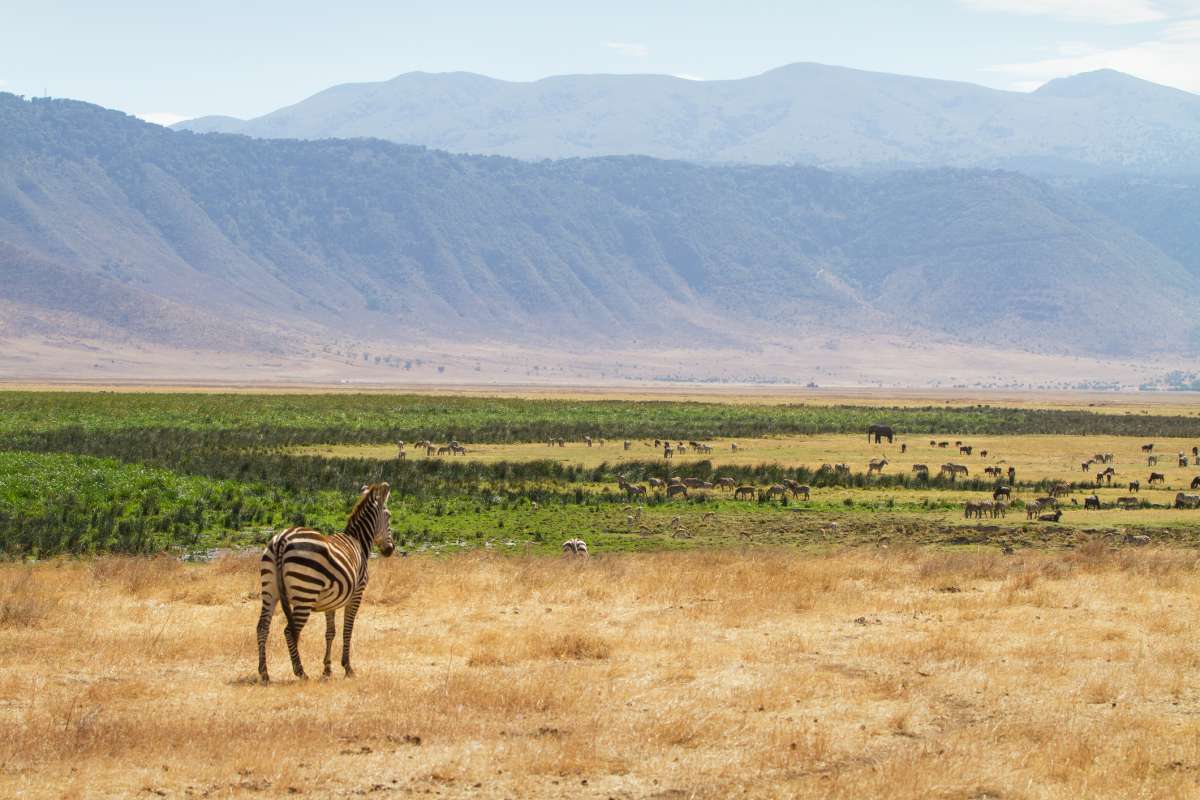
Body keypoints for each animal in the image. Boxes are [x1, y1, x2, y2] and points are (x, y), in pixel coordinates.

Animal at [256, 483, 395, 683]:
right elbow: (347, 629)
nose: (390, 550)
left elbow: (330, 632)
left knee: (262, 627)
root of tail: (282, 538)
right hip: (305, 593)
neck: (359, 541)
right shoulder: (357, 594)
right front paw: (347, 667)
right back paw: (300, 672)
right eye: (389, 515)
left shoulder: (331, 601)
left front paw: (327, 669)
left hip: (270, 590)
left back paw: (264, 672)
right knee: (289, 631)